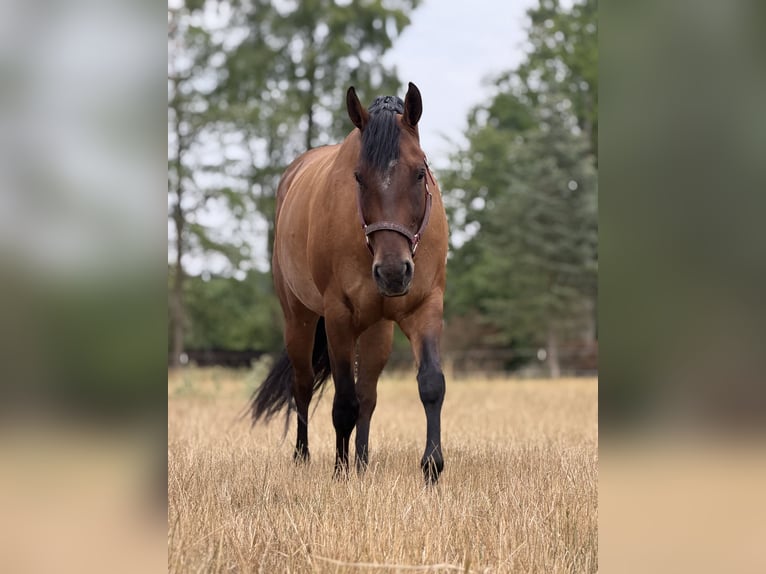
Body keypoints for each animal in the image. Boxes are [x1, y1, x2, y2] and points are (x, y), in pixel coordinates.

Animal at [250, 82, 449, 483]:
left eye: (420, 173)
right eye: (358, 177)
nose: (393, 272)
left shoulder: (426, 308)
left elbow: (430, 384)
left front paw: (431, 468)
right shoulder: (338, 316)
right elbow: (343, 402)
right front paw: (340, 473)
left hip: (377, 330)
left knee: (368, 395)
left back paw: (362, 461)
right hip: (299, 319)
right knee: (304, 385)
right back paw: (305, 456)